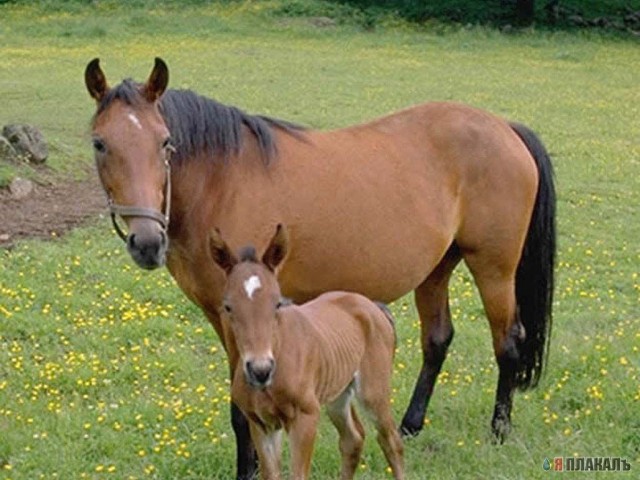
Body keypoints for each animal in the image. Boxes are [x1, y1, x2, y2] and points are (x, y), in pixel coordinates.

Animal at [209, 224, 404, 480]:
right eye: (228, 307)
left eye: (277, 303)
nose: (260, 370)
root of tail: (373, 306)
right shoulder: (261, 423)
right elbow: (271, 475)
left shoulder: (306, 417)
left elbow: (298, 474)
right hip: (338, 394)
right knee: (353, 439)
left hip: (373, 392)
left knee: (391, 441)